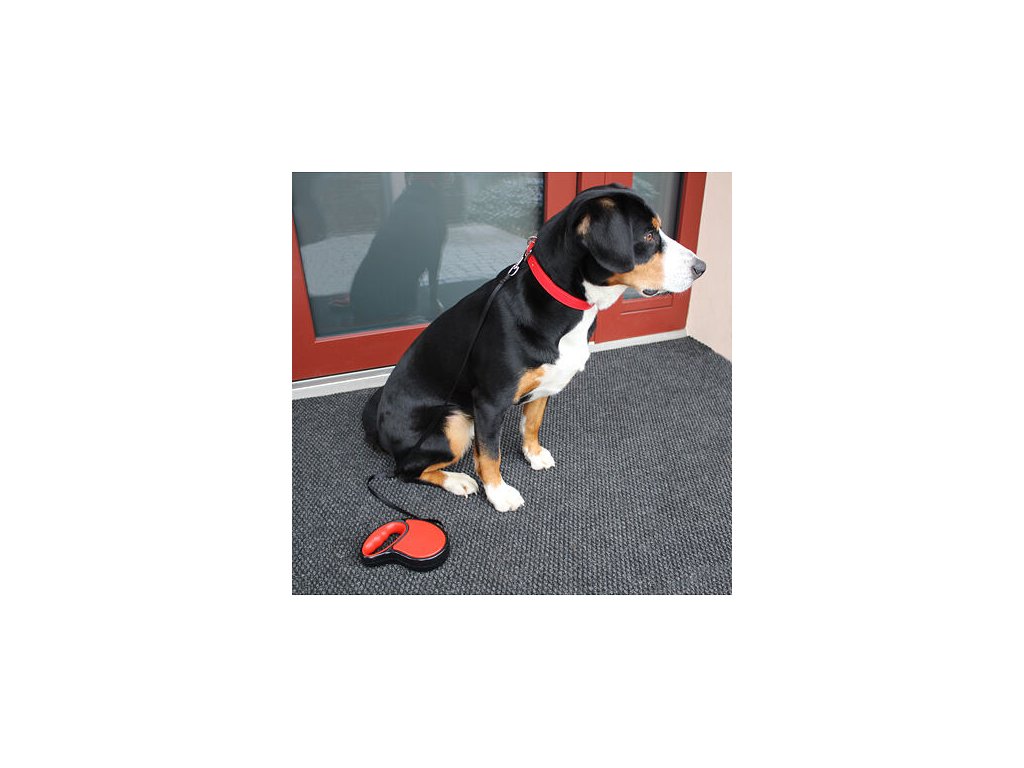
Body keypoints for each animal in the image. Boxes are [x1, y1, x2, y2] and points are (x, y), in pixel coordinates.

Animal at [362, 184, 706, 512]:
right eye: (648, 235)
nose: (701, 267)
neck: (567, 308)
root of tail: (376, 422)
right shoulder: (489, 402)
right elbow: (490, 454)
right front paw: (498, 493)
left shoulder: (545, 385)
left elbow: (532, 423)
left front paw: (533, 454)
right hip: (454, 422)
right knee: (408, 470)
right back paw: (458, 480)